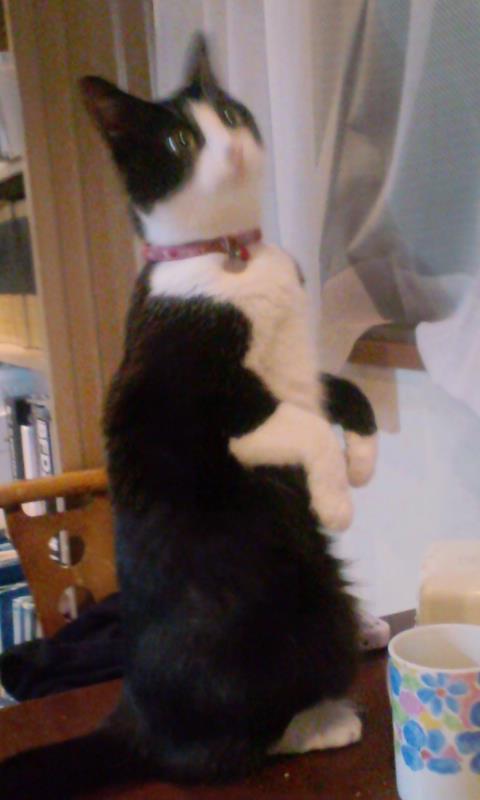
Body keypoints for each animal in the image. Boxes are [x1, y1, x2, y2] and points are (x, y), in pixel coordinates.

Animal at [0, 34, 377, 798]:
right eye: (180, 139)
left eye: (229, 115)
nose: (228, 147)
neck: (232, 259)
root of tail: (134, 714)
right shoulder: (207, 413)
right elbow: (300, 429)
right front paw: (334, 495)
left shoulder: (300, 371)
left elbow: (344, 394)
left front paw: (361, 458)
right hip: (301, 617)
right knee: (208, 757)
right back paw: (320, 725)